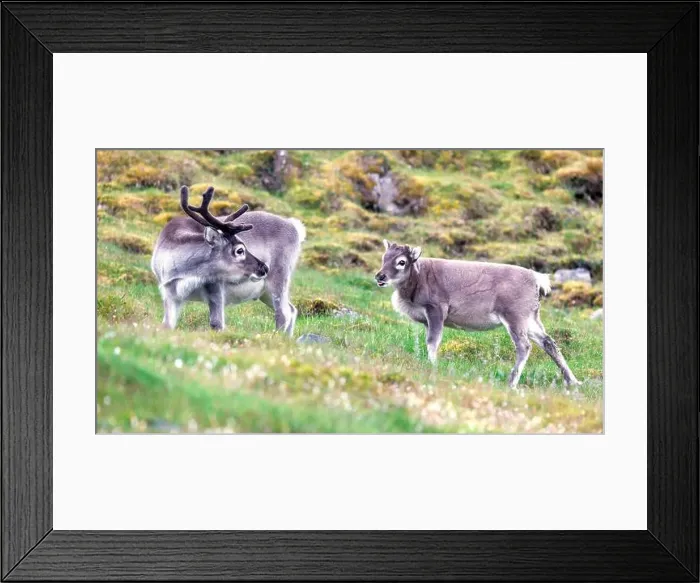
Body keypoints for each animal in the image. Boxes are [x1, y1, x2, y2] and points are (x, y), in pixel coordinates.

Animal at [151, 186, 305, 335]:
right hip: (264, 292)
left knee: (283, 313)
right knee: (292, 310)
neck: (183, 274)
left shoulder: (215, 288)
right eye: (240, 250)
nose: (264, 267)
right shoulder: (170, 294)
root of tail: (295, 227)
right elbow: (167, 325)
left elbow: (216, 324)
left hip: (279, 278)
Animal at [374, 240, 581, 388]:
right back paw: (573, 381)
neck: (417, 280)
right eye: (384, 257)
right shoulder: (427, 319)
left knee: (524, 346)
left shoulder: (437, 309)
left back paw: (511, 382)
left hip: (515, 317)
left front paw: (433, 367)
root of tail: (537, 279)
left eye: (401, 261)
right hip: (531, 318)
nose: (380, 276)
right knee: (549, 342)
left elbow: (433, 342)